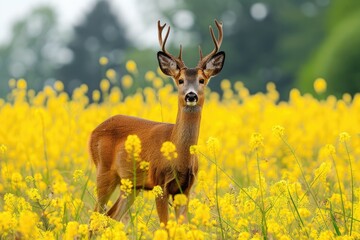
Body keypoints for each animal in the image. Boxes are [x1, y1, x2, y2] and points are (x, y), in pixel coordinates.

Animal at [89, 19, 225, 225]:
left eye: (202, 80)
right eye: (180, 80)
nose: (191, 95)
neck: (179, 156)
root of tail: (93, 132)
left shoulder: (185, 189)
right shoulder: (160, 184)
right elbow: (166, 226)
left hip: (131, 185)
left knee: (111, 216)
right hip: (104, 172)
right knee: (95, 216)